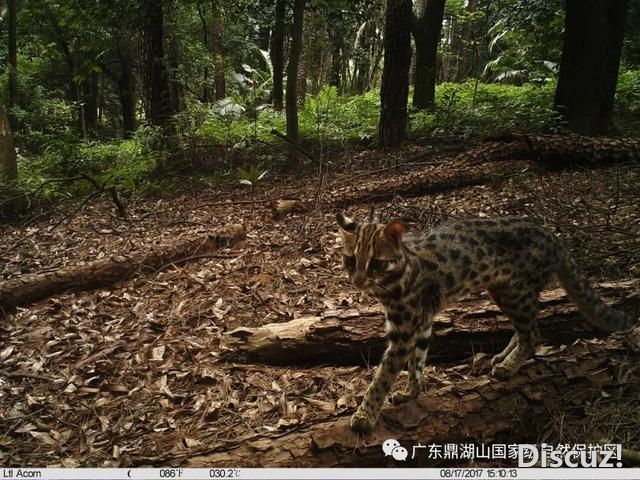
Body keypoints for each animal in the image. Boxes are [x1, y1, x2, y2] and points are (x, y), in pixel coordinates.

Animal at [338, 212, 636, 434]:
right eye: (350, 260)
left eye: (376, 263)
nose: (357, 281)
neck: (395, 278)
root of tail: (555, 238)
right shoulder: (422, 323)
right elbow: (418, 362)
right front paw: (411, 392)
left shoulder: (404, 331)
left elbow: (383, 376)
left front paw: (365, 415)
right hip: (505, 291)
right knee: (525, 327)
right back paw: (504, 356)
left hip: (515, 292)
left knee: (533, 332)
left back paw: (509, 366)